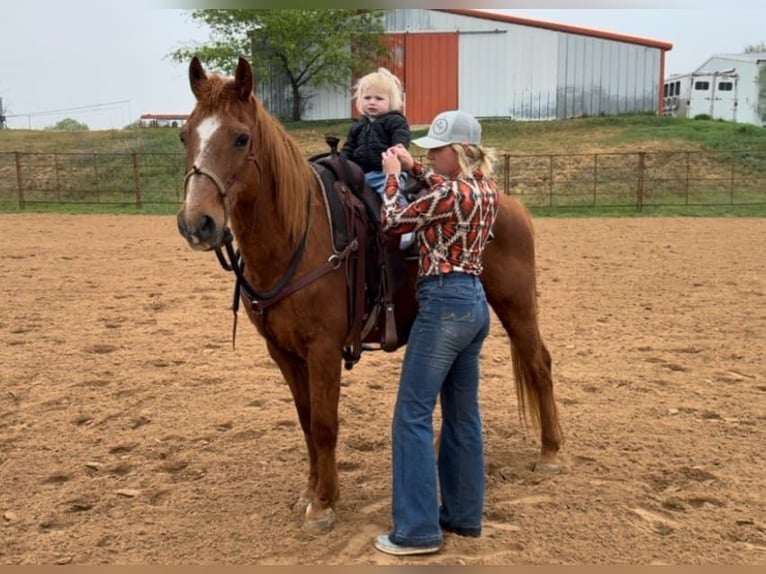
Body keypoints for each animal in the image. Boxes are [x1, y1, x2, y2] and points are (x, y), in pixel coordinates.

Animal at [176, 56, 563, 533]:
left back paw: (550, 452)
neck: (299, 236)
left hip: (518, 305)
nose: (197, 222)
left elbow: (325, 424)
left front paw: (324, 504)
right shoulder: (282, 351)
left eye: (241, 137)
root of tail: (507, 202)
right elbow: (306, 421)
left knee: (539, 363)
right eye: (185, 134)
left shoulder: (323, 349)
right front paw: (309, 491)